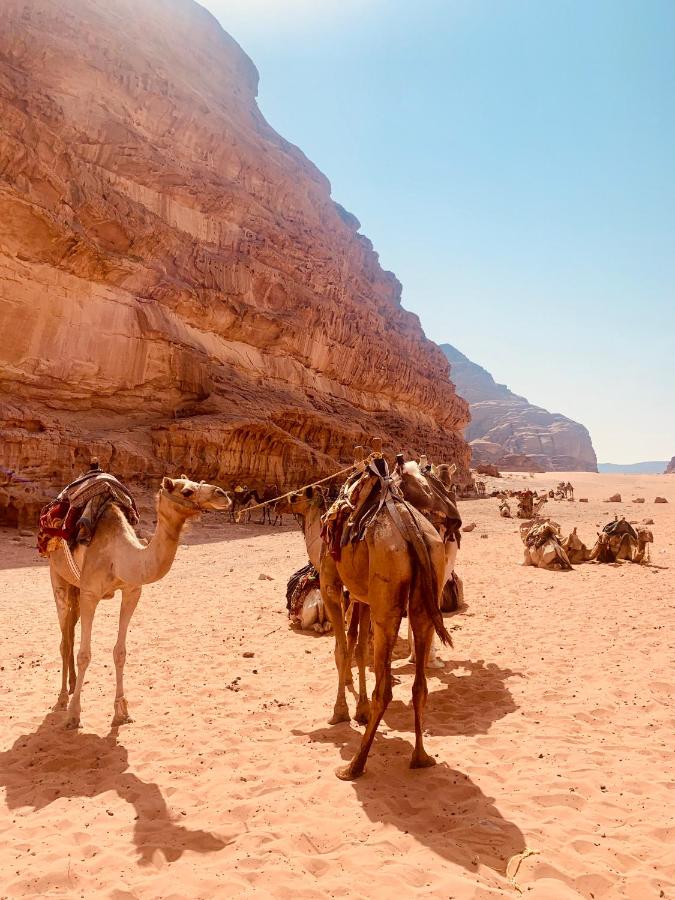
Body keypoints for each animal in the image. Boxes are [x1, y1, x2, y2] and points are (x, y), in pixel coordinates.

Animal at [48, 476, 231, 729]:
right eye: (186, 491)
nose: (223, 494)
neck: (119, 556)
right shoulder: (90, 594)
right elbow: (85, 655)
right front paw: (74, 716)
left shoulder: (132, 591)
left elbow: (120, 652)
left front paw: (122, 713)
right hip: (58, 578)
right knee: (65, 642)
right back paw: (62, 698)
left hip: (74, 587)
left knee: (70, 635)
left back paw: (74, 686)